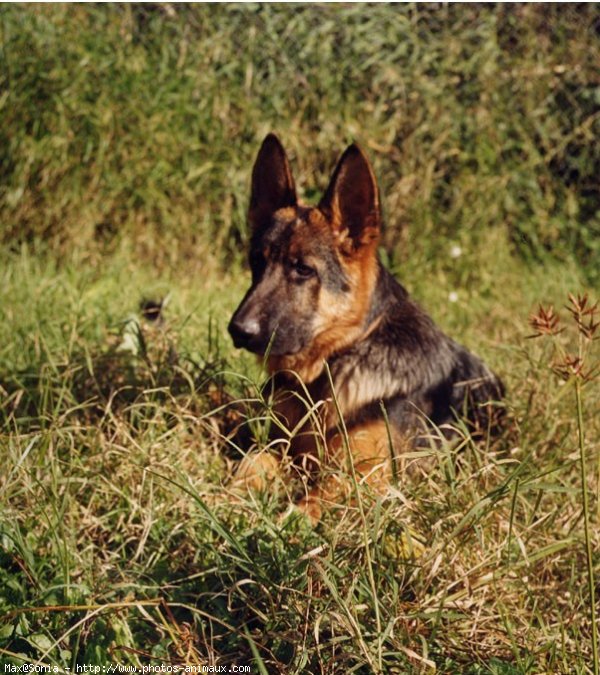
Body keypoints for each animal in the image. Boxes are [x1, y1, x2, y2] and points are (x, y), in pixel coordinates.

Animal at [227, 133, 504, 524]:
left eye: (303, 269)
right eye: (256, 262)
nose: (238, 330)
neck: (335, 362)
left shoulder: (365, 472)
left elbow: (313, 499)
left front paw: (284, 521)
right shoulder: (275, 446)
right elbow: (252, 463)